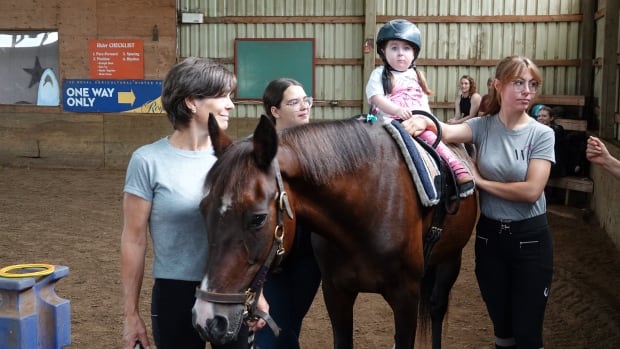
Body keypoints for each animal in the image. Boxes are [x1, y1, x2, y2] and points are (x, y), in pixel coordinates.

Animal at [191, 113, 478, 346]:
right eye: (202, 209)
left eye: (258, 219)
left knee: (436, 308)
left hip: (451, 259)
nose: (207, 319)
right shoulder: (336, 293)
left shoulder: (406, 296)